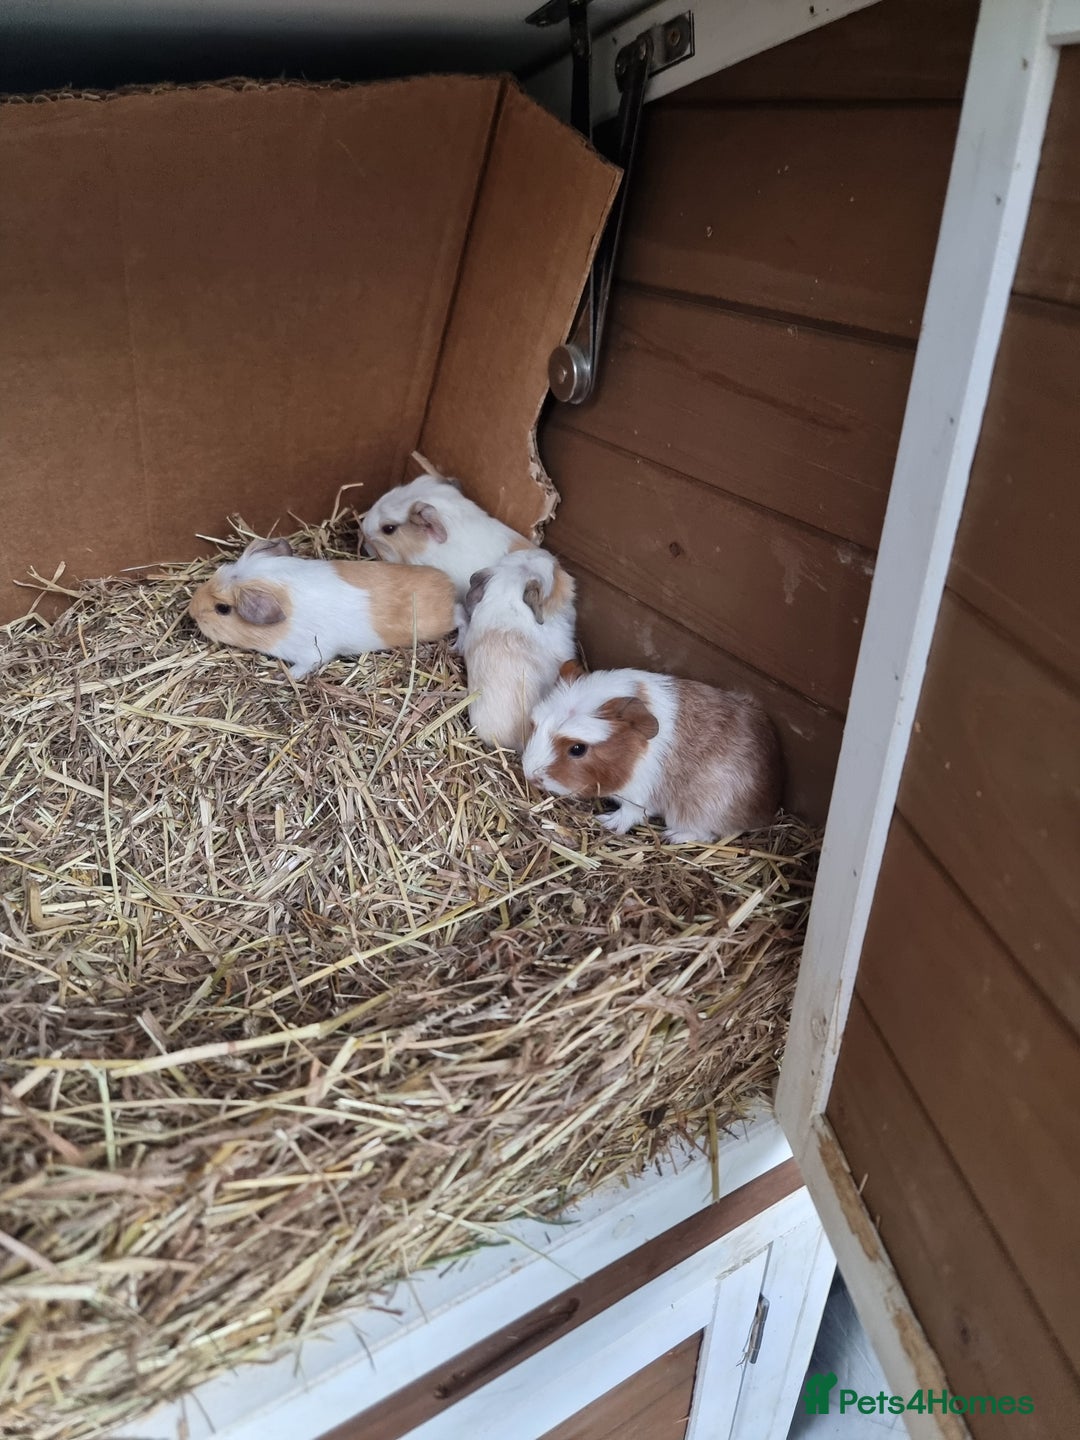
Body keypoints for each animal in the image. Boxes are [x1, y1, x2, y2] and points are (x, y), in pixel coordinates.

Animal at [522, 663, 782, 843]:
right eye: (534, 726)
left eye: (577, 749)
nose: (530, 775)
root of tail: (769, 804)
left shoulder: (639, 796)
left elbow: (631, 813)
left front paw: (607, 823)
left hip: (694, 813)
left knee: (708, 834)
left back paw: (672, 836)